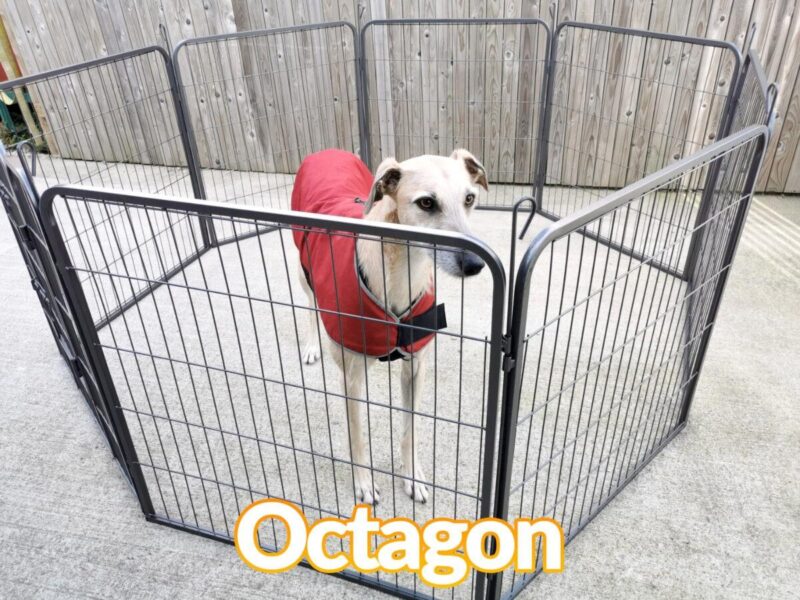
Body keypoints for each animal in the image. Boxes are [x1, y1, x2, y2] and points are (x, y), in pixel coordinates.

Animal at [290, 148, 484, 504]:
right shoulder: (352, 377)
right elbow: (357, 436)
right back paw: (311, 345)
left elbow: (410, 429)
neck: (399, 273)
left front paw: (412, 477)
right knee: (310, 304)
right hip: (303, 266)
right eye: (426, 203)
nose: (475, 264)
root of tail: (327, 151)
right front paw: (364, 483)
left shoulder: (416, 368)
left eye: (469, 198)